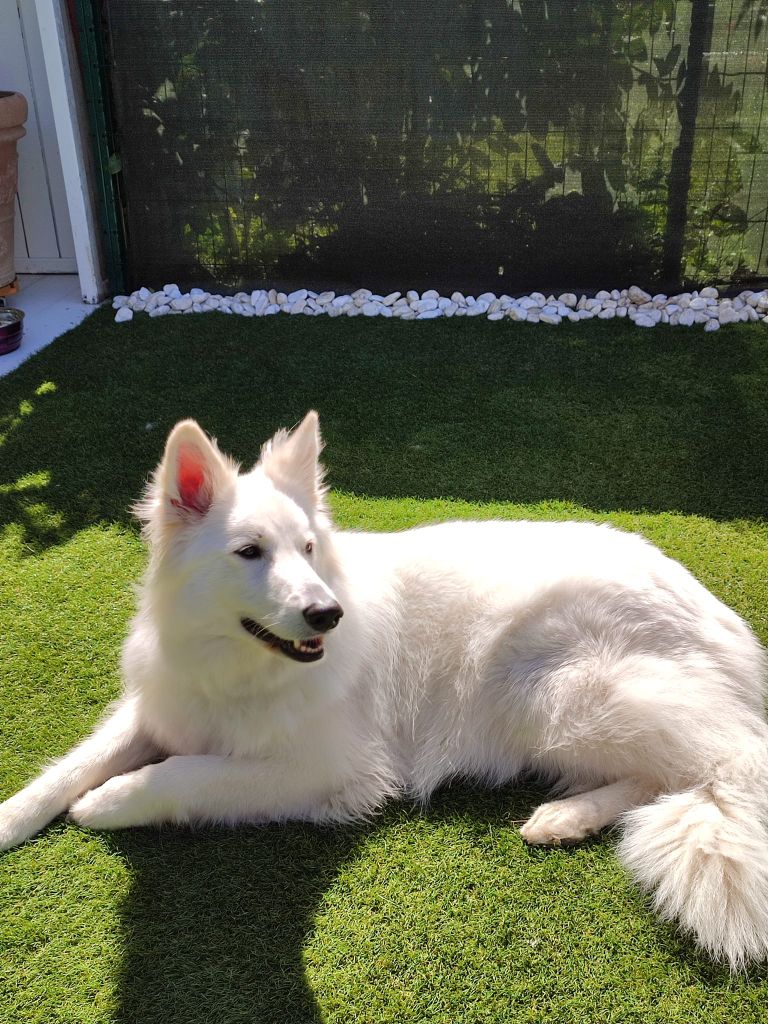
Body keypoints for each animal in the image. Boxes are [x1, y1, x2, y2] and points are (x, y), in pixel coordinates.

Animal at [1, 411, 767, 969]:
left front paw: (111, 801)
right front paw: (17, 816)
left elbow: (188, 772)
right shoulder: (158, 709)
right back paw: (567, 814)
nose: (326, 614)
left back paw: (569, 814)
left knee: (705, 767)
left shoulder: (326, 769)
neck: (238, 665)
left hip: (555, 692)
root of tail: (727, 627)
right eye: (249, 553)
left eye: (308, 549)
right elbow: (68, 767)